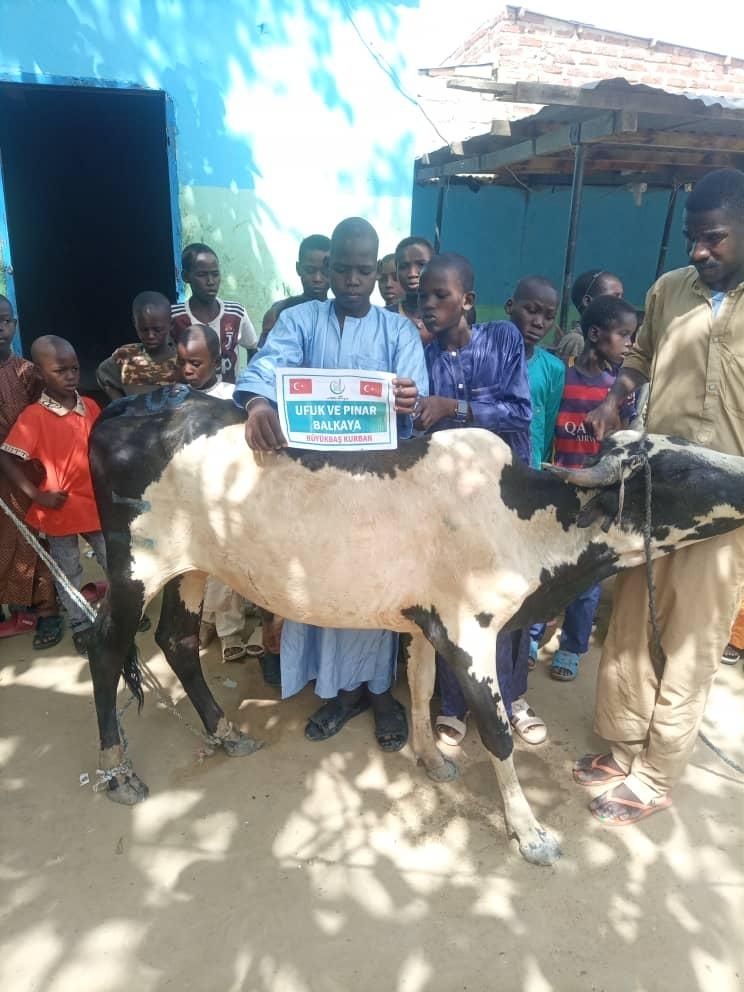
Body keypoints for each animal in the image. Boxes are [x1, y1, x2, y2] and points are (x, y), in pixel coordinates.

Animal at [87, 385, 744, 866]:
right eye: (680, 469)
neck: (517, 517)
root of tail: (135, 405)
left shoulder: (426, 625)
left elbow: (424, 690)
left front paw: (432, 759)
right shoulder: (471, 635)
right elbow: (497, 734)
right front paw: (529, 833)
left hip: (194, 569)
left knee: (176, 641)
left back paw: (225, 731)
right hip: (135, 569)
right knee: (103, 646)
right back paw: (119, 770)